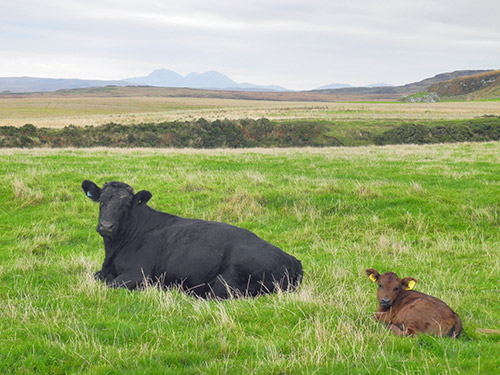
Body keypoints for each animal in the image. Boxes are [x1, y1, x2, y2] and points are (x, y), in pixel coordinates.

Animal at [82, 181, 302, 302]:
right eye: (102, 201)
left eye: (126, 205)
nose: (106, 226)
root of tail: (292, 259)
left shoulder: (137, 274)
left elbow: (109, 285)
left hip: (228, 280)